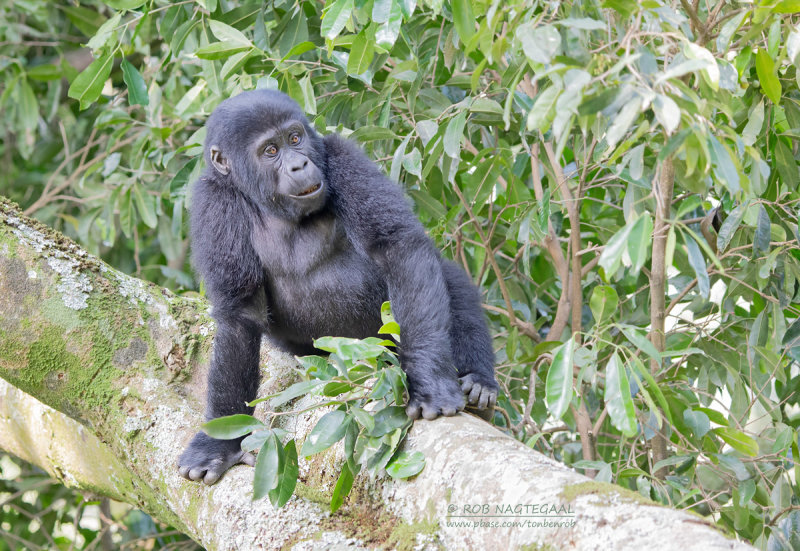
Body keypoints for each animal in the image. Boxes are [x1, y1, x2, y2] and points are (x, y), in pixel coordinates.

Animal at [178, 91, 496, 488]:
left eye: (295, 138)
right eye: (270, 150)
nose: (299, 164)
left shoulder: (342, 156)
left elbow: (398, 247)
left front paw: (430, 379)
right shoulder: (213, 201)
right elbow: (240, 316)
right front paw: (217, 444)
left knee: (449, 281)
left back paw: (479, 381)